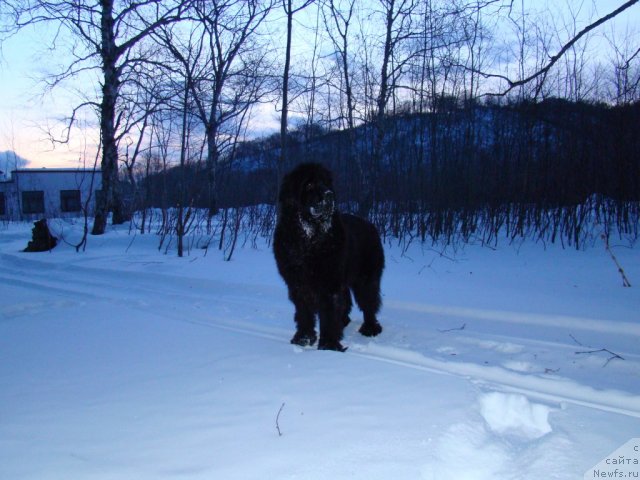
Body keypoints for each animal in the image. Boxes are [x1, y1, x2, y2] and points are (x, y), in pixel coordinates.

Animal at [272, 163, 382, 350]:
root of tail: (371, 226)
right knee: (347, 301)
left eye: (325, 183)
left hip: (365, 278)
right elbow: (304, 312)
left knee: (369, 303)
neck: (309, 239)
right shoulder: (298, 283)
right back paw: (344, 321)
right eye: (309, 184)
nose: (329, 195)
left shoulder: (329, 282)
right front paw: (303, 339)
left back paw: (370, 328)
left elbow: (329, 313)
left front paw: (329, 345)